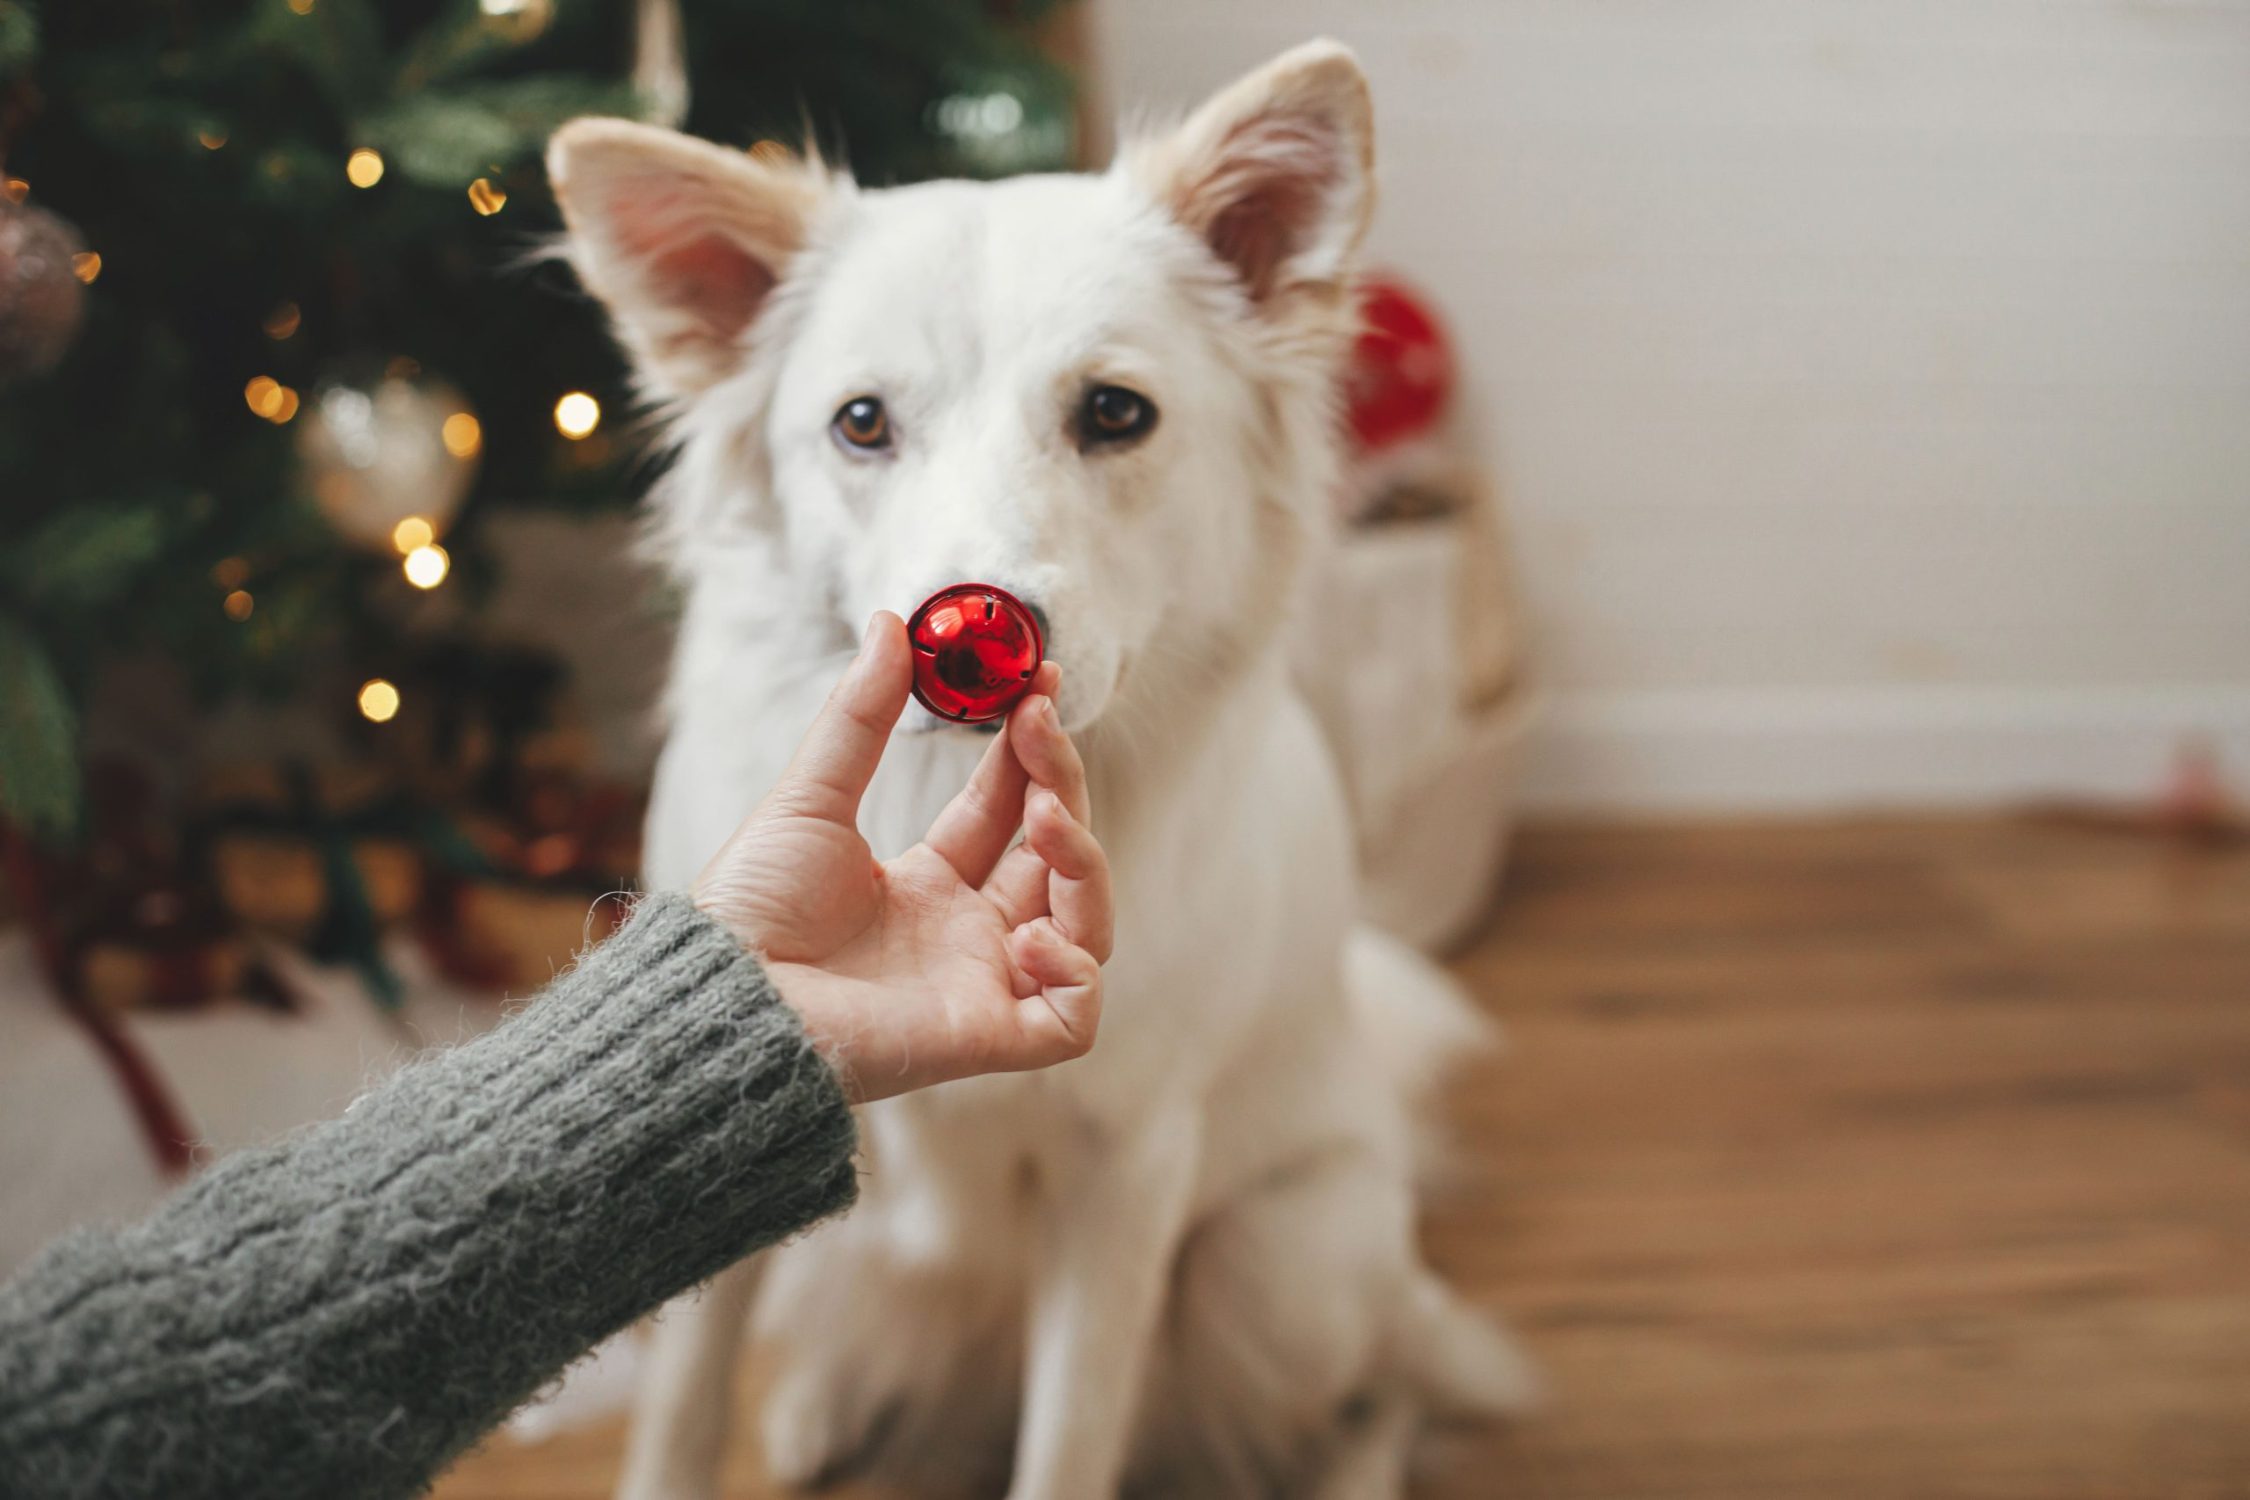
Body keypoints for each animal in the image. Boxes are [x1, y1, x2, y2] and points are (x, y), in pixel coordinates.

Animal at [544, 41, 1530, 1493]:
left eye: (1115, 411)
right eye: (859, 423)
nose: (971, 627)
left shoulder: (1127, 1172)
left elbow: (1068, 1441)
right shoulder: (727, 1149)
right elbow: (678, 1412)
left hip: (1279, 1263)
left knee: (1372, 1399)